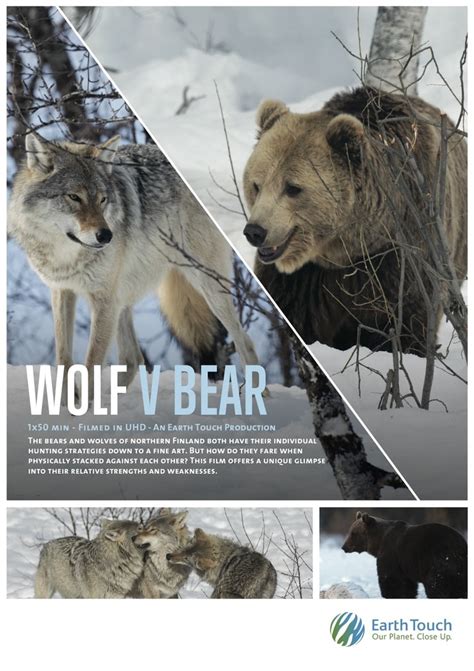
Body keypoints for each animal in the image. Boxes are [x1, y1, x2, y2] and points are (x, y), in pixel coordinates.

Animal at [9, 133, 260, 394]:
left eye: (102, 200)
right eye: (74, 197)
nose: (106, 236)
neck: (66, 257)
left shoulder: (103, 301)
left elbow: (91, 366)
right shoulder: (62, 291)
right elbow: (64, 360)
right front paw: (69, 402)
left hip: (207, 286)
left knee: (245, 342)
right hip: (123, 300)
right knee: (132, 359)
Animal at [243, 87, 467, 354]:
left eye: (293, 188)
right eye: (257, 184)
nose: (255, 231)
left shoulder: (401, 256)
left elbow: (405, 322)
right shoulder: (302, 282)